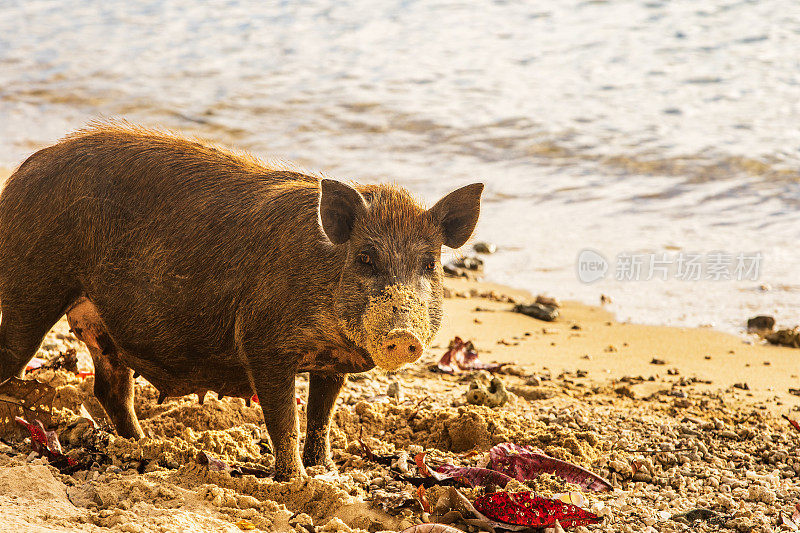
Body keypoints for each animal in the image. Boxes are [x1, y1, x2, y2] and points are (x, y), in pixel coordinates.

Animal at [0, 123, 482, 478]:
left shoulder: (332, 363)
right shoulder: (262, 344)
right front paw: (296, 480)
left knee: (111, 388)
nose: (403, 336)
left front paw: (325, 469)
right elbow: (284, 419)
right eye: (365, 258)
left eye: (429, 264)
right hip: (31, 289)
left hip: (99, 324)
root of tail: (18, 177)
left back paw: (144, 446)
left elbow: (321, 417)